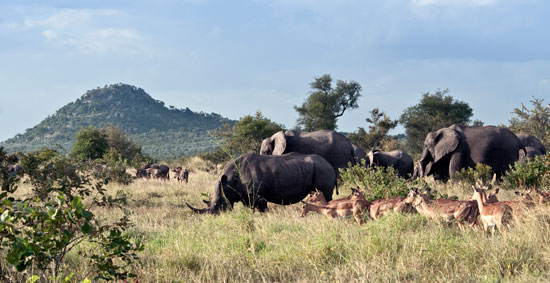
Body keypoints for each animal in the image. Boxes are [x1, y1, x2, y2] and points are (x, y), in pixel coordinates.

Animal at [188, 154, 338, 214]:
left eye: (219, 205)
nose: (215, 216)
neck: (229, 181)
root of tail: (330, 165)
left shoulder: (258, 195)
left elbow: (262, 209)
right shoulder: (246, 196)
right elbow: (250, 209)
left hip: (323, 170)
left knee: (326, 195)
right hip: (320, 169)